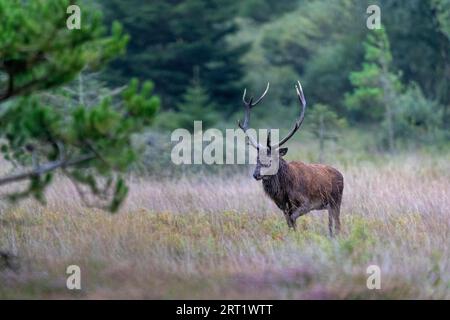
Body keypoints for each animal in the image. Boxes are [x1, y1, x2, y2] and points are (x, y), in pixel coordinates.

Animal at [239, 81, 344, 236]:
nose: (256, 174)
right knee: (332, 223)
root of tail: (341, 174)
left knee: (336, 223)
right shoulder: (283, 208)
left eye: (270, 160)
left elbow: (293, 219)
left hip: (336, 200)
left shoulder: (307, 202)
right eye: (257, 159)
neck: (284, 191)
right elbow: (289, 223)